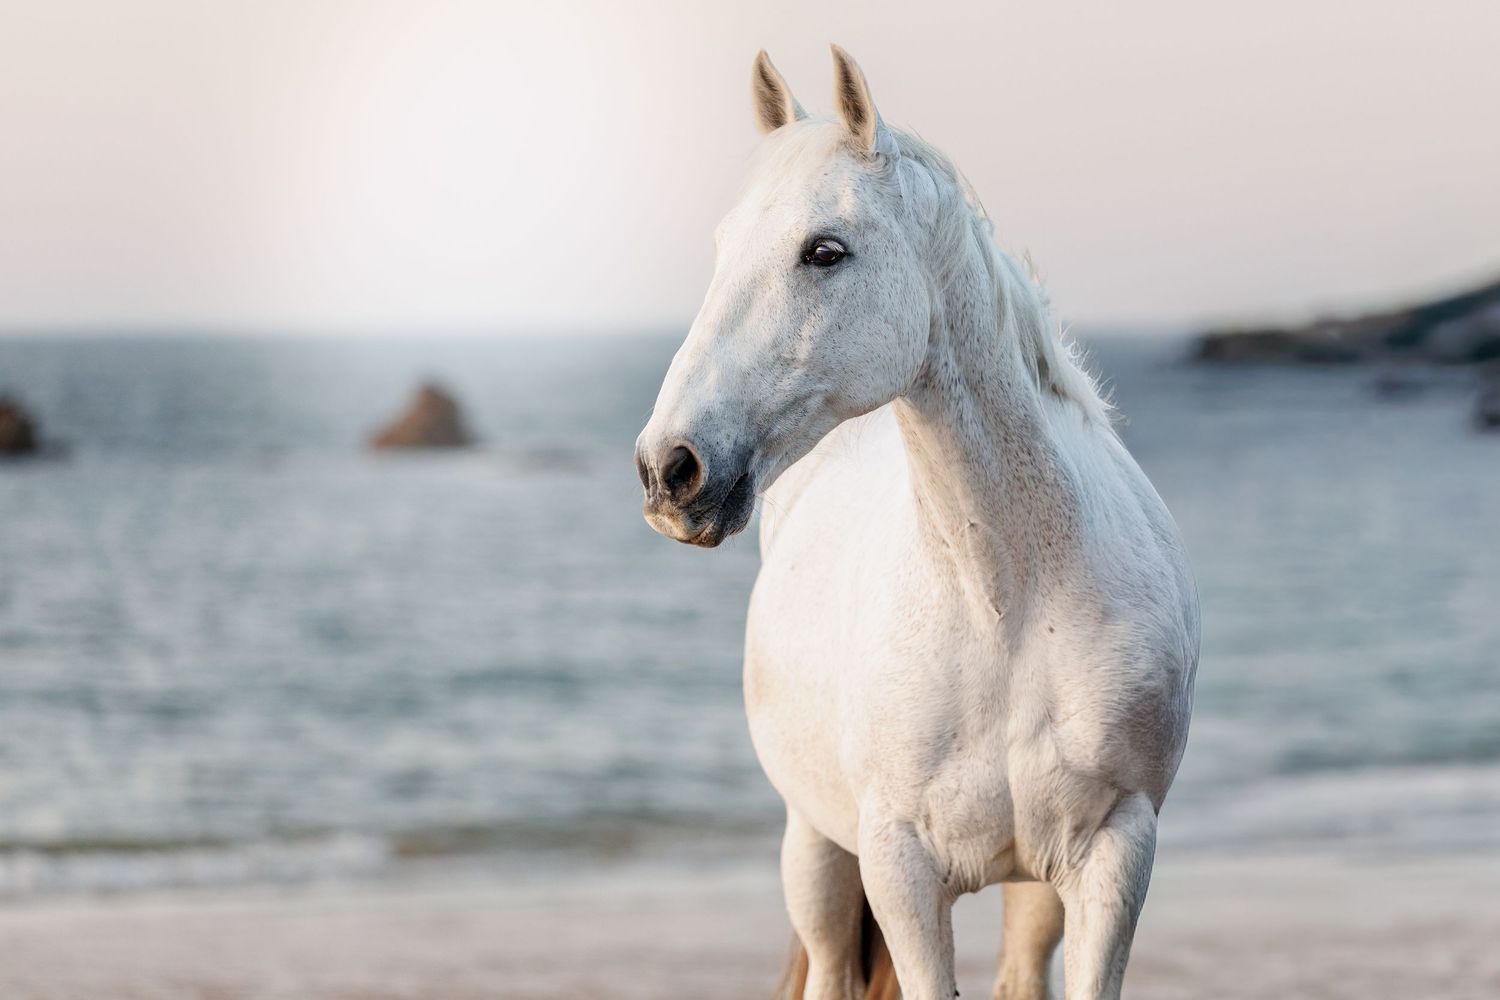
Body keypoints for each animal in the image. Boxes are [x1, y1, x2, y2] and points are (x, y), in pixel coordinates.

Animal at [635, 46, 1199, 1000]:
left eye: (825, 250)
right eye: (720, 248)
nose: (671, 468)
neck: (1010, 604)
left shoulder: (1115, 855)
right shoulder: (899, 871)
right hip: (816, 849)